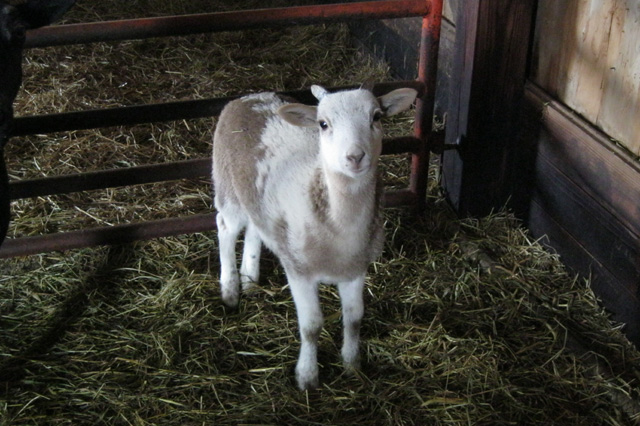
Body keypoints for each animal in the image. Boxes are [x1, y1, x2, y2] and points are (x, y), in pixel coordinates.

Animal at [212, 82, 418, 390]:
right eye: (323, 124)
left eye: (377, 116)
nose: (355, 157)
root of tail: (249, 96)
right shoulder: (299, 270)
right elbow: (311, 327)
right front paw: (307, 377)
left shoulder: (355, 269)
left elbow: (354, 318)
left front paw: (352, 365)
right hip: (226, 184)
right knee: (225, 226)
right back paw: (230, 290)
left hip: (259, 201)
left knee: (254, 228)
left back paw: (249, 278)